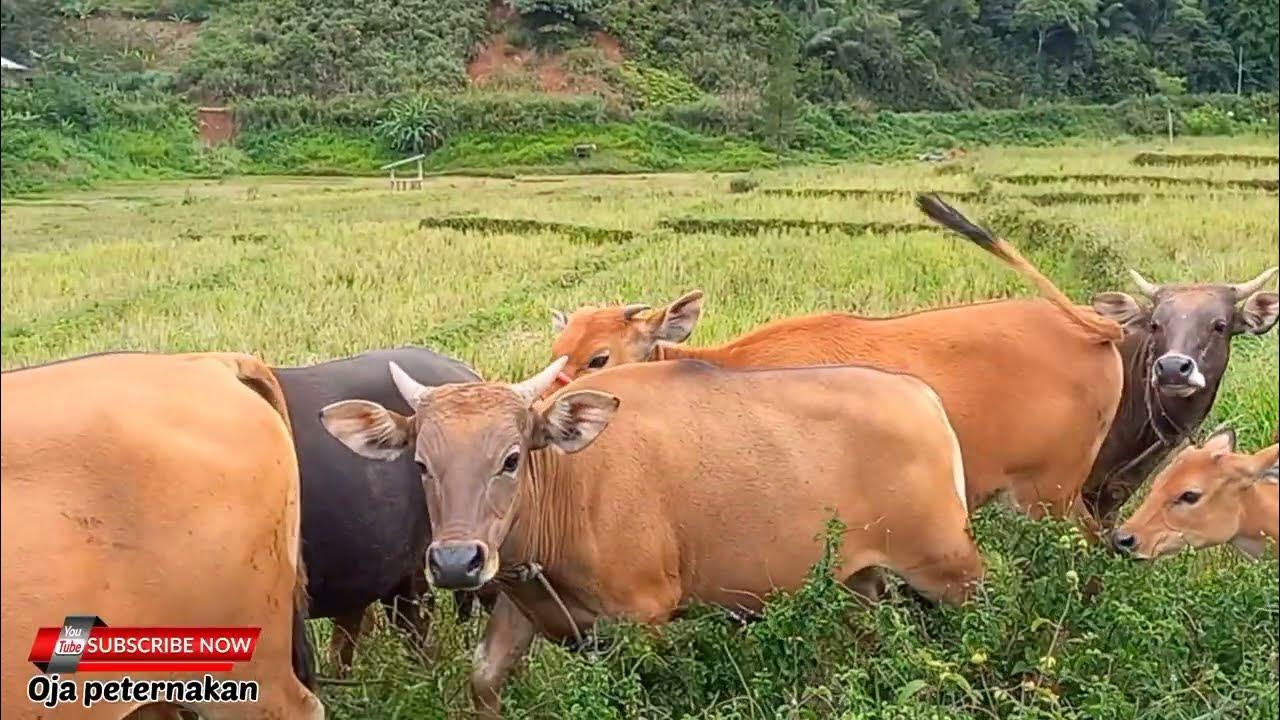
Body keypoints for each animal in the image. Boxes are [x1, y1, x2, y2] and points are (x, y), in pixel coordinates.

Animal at [319, 356, 984, 718]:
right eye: (422, 464)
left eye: (510, 458)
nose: (457, 562)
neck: (573, 483)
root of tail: (920, 396)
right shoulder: (518, 607)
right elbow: (483, 680)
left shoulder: (642, 618)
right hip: (858, 581)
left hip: (951, 569)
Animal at [548, 194, 1124, 523]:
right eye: (558, 352)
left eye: (599, 358)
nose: (548, 407)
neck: (726, 368)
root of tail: (1096, 325)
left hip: (1050, 493)